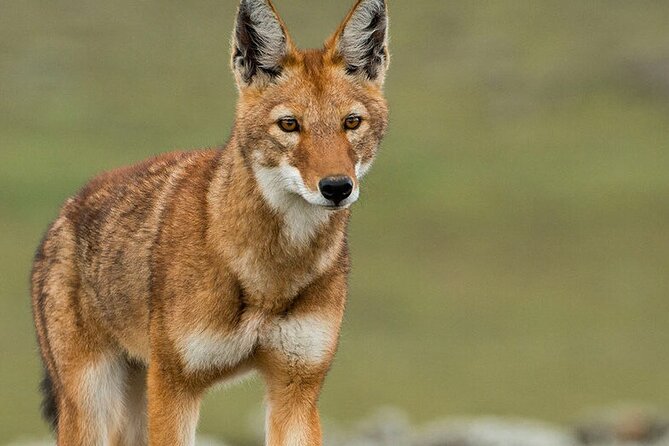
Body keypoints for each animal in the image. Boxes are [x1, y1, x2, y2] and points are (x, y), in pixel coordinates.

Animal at [30, 0, 389, 444]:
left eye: (351, 123)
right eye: (289, 125)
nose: (337, 187)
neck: (268, 276)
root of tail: (63, 214)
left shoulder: (297, 392)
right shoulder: (175, 386)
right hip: (92, 408)